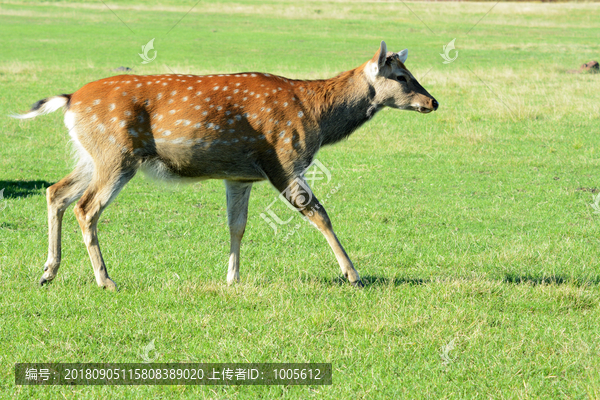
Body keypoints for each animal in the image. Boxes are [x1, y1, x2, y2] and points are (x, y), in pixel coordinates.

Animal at [12, 41, 436, 290]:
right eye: (402, 76)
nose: (432, 102)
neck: (314, 114)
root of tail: (69, 101)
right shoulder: (281, 159)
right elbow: (318, 212)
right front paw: (353, 274)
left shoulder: (240, 175)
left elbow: (237, 225)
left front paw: (232, 277)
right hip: (116, 154)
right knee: (86, 207)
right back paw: (106, 280)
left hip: (92, 156)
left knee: (55, 192)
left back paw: (48, 272)